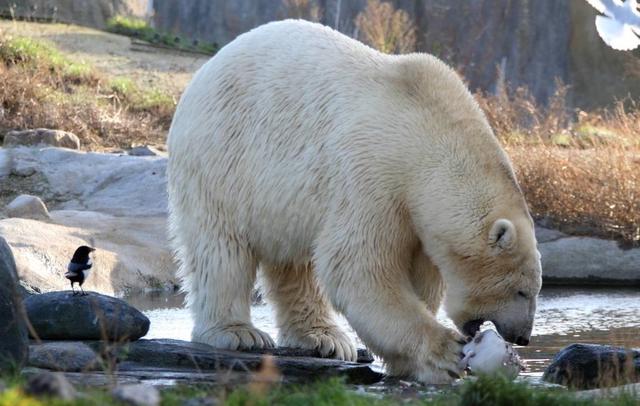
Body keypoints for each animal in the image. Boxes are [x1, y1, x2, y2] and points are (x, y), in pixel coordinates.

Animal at [168, 19, 544, 384]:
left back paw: (324, 338)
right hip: (223, 159)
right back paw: (239, 333)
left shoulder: (416, 216)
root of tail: (208, 68)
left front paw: (408, 363)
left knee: (294, 262)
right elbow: (358, 267)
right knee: (221, 249)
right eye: (522, 291)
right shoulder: (372, 176)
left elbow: (419, 274)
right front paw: (445, 353)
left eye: (533, 289)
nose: (522, 337)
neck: (427, 132)